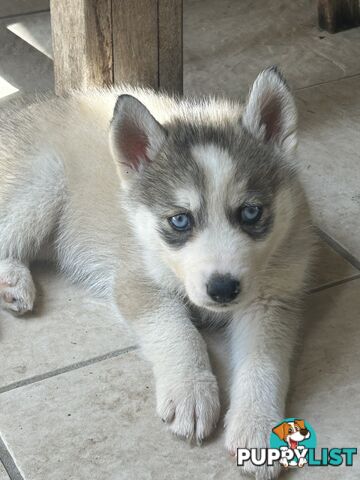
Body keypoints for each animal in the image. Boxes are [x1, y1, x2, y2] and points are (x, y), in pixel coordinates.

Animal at [0, 67, 316, 480]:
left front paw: (259, 427)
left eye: (251, 212)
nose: (223, 289)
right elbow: (177, 330)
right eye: (180, 220)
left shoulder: (272, 298)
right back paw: (13, 280)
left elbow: (264, 361)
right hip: (43, 184)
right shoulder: (136, 280)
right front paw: (191, 390)